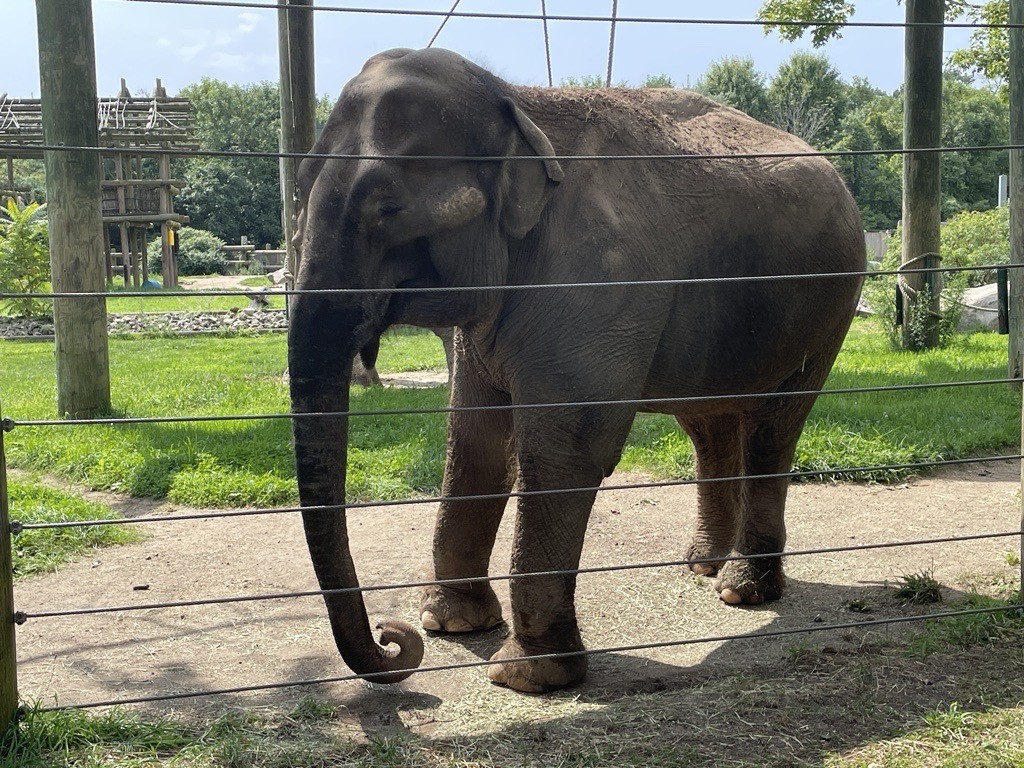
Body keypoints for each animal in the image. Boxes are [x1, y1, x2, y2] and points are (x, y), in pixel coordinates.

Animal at [288, 47, 866, 693]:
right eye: (300, 191)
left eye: (388, 209)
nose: (393, 641)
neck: (517, 103)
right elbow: (474, 441)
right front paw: (452, 625)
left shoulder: (596, 277)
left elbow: (567, 447)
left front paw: (526, 676)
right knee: (709, 422)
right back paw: (702, 565)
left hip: (831, 301)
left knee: (776, 423)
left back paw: (740, 591)